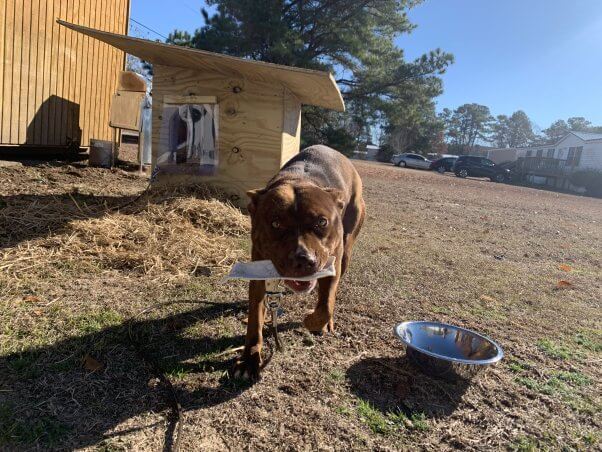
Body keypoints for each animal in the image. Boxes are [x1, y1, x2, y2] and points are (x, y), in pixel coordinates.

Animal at [234, 145, 366, 378]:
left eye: (321, 222)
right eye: (275, 224)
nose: (304, 260)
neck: (298, 179)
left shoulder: (333, 264)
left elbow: (326, 306)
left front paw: (312, 321)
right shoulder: (260, 270)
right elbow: (255, 318)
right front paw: (249, 358)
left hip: (347, 249)